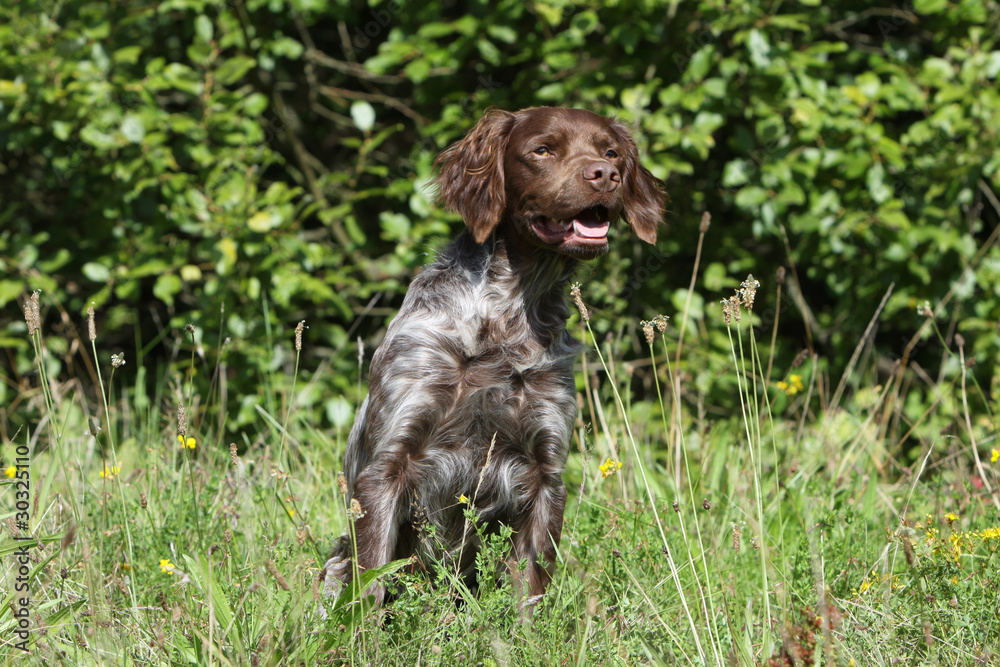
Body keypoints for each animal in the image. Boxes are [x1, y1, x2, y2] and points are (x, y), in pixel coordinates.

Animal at [322, 107, 664, 612]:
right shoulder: (385, 469)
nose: (605, 175)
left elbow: (529, 591)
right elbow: (370, 583)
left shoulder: (545, 475)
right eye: (542, 150)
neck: (507, 318)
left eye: (612, 152)